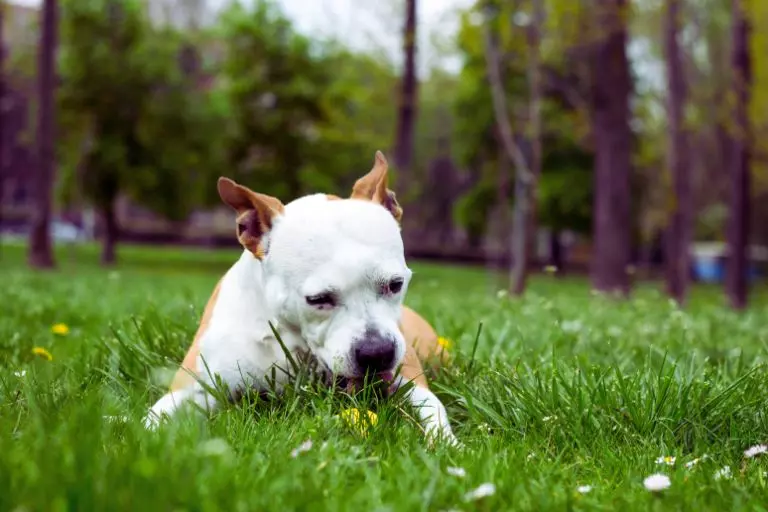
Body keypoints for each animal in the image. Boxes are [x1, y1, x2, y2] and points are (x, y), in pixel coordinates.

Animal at [144, 151, 456, 444]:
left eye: (395, 284)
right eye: (317, 299)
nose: (377, 353)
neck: (291, 338)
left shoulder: (410, 383)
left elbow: (434, 410)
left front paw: (448, 445)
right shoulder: (192, 388)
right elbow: (151, 421)